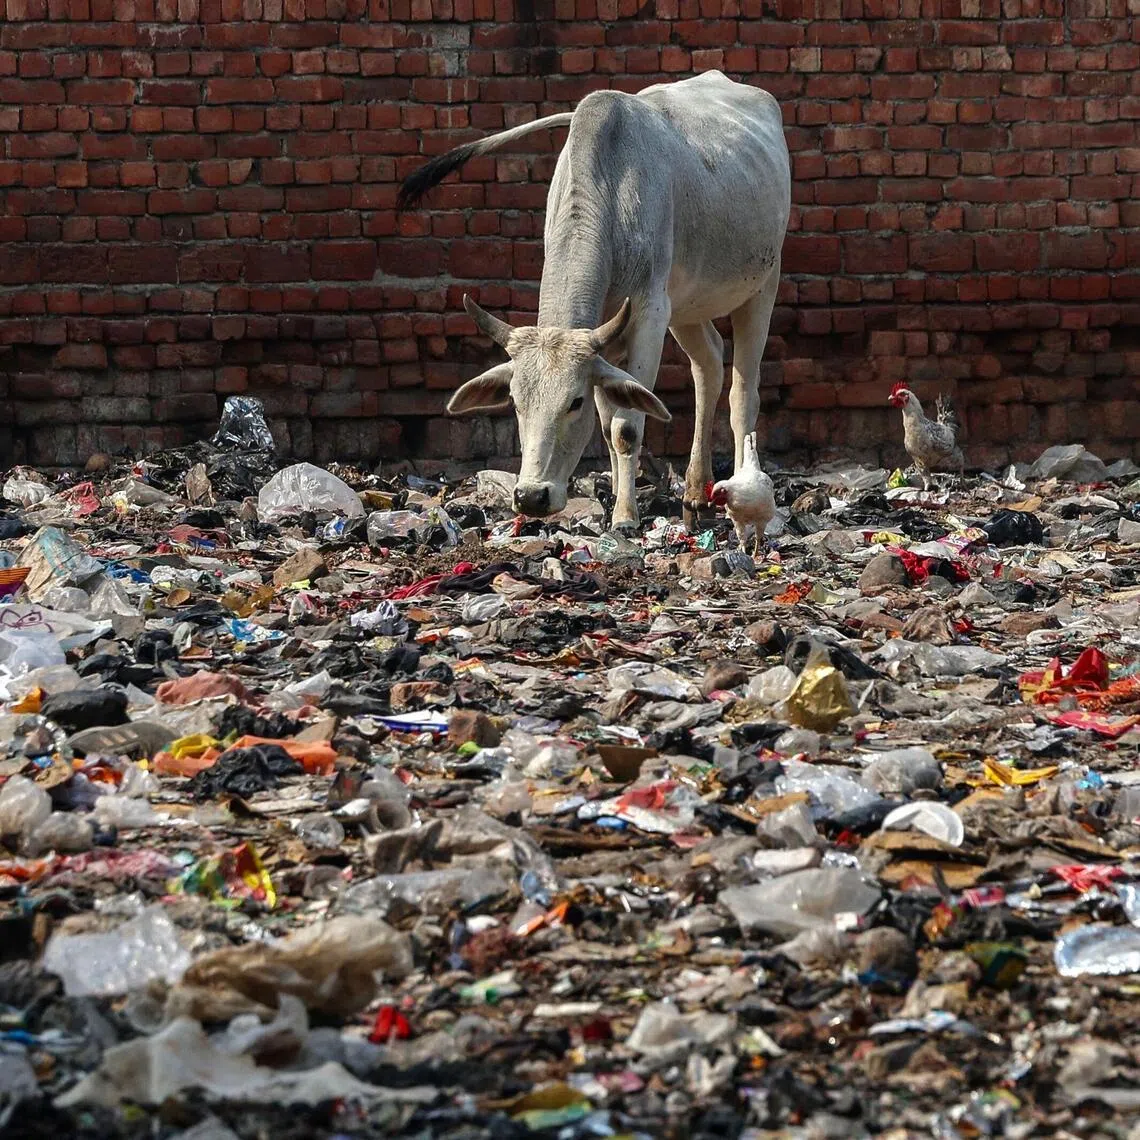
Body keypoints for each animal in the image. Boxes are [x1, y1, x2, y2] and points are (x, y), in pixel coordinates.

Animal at [398, 70, 791, 530]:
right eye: (515, 401)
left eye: (574, 402)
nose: (531, 496)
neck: (612, 188)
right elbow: (607, 423)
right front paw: (618, 501)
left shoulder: (650, 314)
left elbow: (626, 427)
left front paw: (624, 516)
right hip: (687, 306)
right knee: (708, 364)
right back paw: (695, 493)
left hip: (762, 284)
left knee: (743, 393)